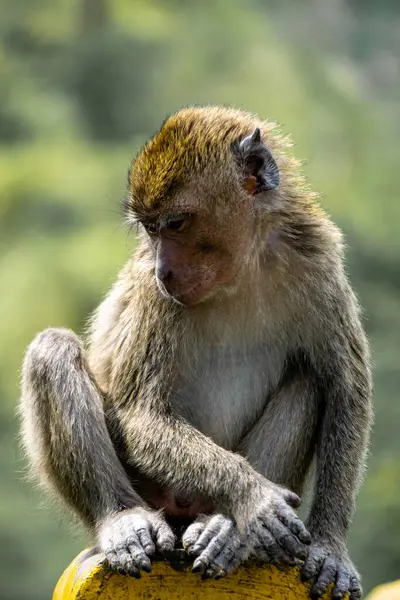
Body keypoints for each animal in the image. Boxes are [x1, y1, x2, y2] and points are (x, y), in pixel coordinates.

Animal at [21, 108, 372, 600]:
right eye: (151, 229)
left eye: (177, 224)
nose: (162, 269)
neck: (242, 266)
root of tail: (180, 507)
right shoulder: (157, 297)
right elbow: (141, 414)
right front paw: (253, 499)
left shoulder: (317, 257)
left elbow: (345, 390)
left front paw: (330, 547)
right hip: (149, 489)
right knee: (51, 350)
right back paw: (121, 519)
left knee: (309, 379)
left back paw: (227, 528)